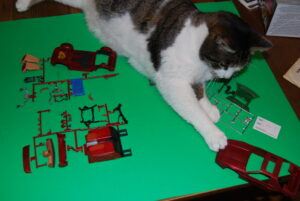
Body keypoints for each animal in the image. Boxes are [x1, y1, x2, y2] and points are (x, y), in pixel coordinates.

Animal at [15, 0, 272, 151]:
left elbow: (199, 90)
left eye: (237, 70)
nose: (227, 78)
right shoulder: (171, 82)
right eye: (224, 63)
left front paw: (209, 107)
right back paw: (21, 4)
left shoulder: (198, 75)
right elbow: (192, 108)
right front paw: (213, 131)